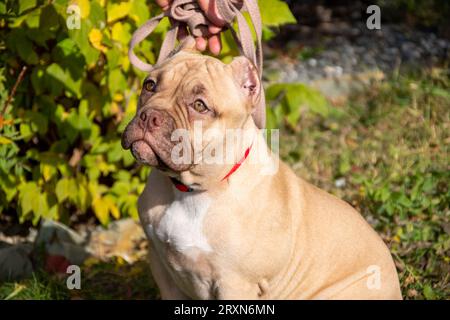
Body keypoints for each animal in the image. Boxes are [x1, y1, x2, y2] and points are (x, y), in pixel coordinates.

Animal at [121, 42, 402, 300]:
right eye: (149, 85)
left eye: (200, 106)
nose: (150, 116)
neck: (190, 190)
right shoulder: (161, 266)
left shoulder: (234, 283)